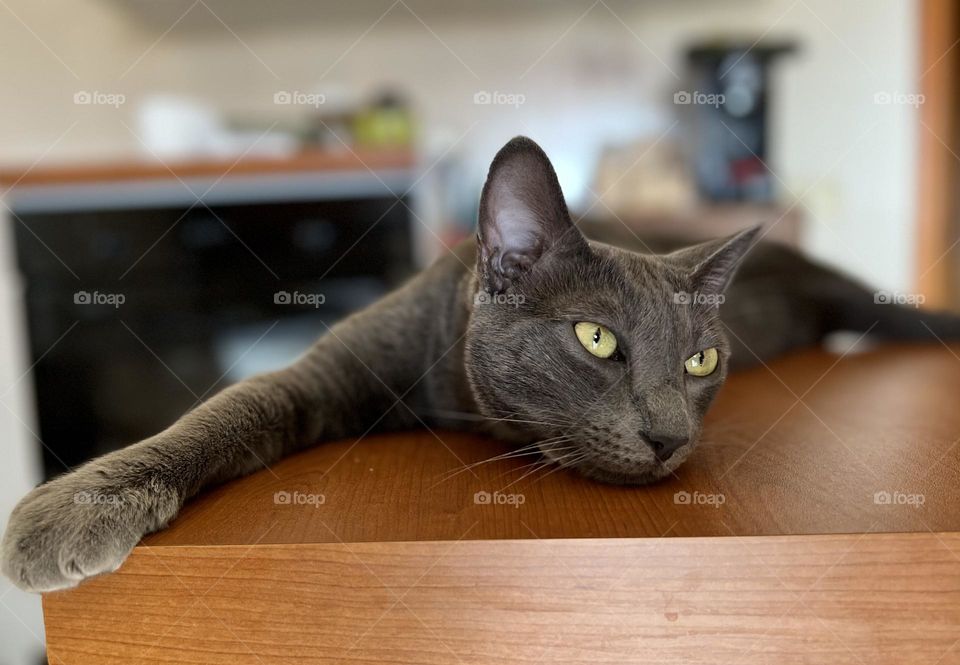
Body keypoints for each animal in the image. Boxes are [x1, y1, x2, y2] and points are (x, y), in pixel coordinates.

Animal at [1, 136, 960, 592]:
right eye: (596, 339)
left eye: (700, 359)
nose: (668, 436)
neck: (454, 398)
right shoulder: (331, 372)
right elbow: (232, 407)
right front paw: (72, 508)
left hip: (846, 292)